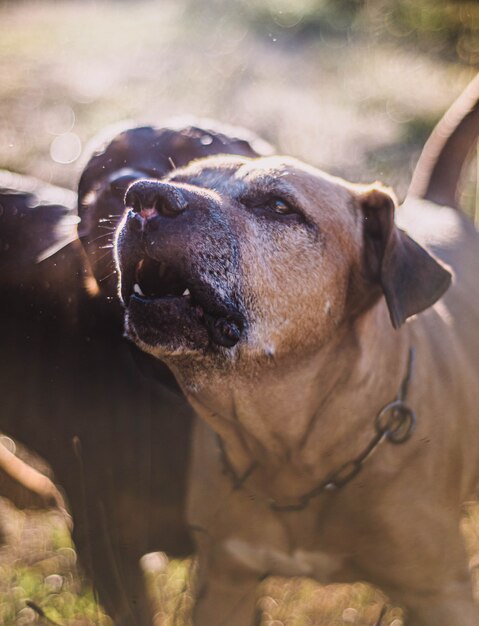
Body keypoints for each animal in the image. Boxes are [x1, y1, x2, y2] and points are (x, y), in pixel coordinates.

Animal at [115, 97, 479, 620]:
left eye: (278, 206)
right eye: (177, 177)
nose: (144, 196)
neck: (289, 451)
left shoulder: (442, 594)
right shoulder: (224, 582)